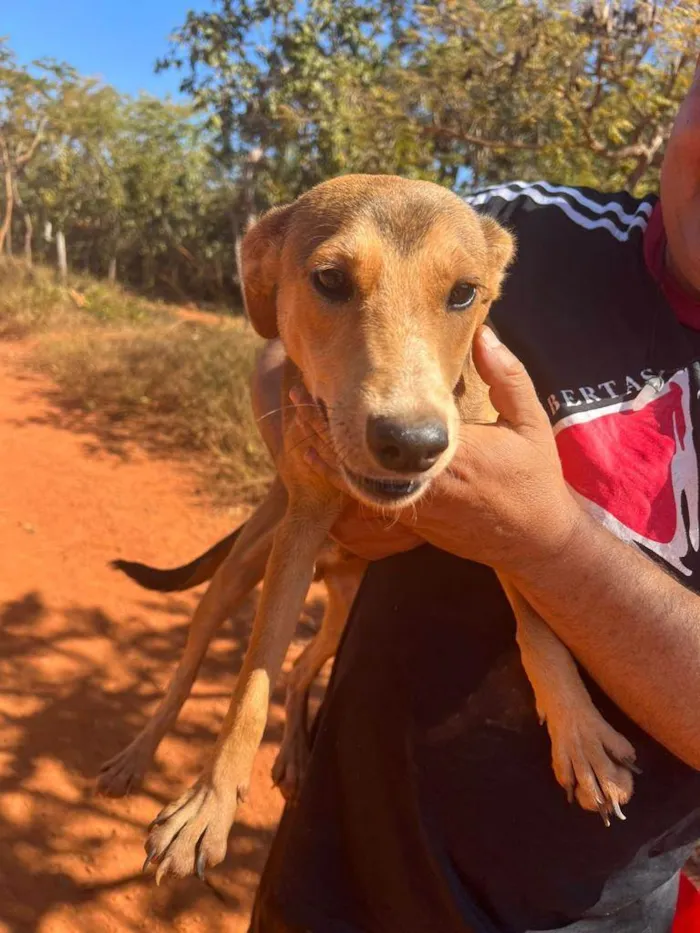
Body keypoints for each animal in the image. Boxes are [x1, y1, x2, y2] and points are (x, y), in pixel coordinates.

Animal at [105, 175, 640, 880]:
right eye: (330, 280)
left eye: (464, 293)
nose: (412, 444)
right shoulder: (298, 532)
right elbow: (251, 681)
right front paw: (208, 806)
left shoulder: (508, 523)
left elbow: (539, 627)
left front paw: (581, 735)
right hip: (243, 568)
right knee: (188, 671)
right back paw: (136, 756)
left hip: (341, 608)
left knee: (302, 668)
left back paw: (295, 757)